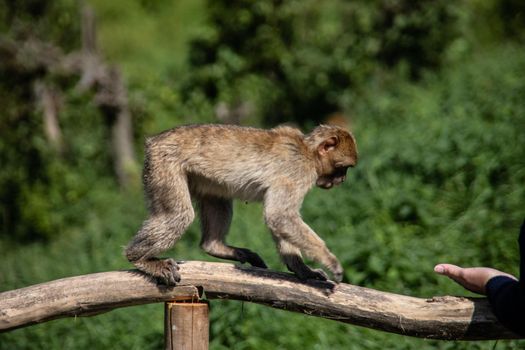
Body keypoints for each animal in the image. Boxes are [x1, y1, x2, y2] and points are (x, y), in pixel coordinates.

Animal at [125, 123, 358, 284]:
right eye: (343, 168)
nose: (342, 180)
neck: (308, 151)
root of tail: (155, 141)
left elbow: (279, 220)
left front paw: (303, 270)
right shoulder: (297, 172)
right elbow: (280, 216)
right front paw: (329, 260)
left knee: (216, 199)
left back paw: (215, 246)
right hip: (163, 164)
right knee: (179, 215)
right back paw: (139, 258)